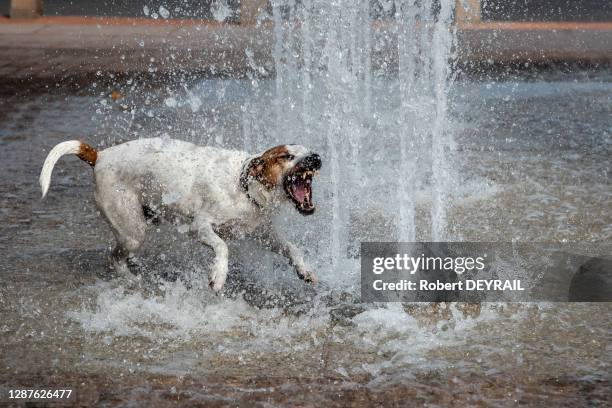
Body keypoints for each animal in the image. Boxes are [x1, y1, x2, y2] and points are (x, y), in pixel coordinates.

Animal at [38, 139, 322, 292]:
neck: (244, 186)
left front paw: (305, 270)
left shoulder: (261, 234)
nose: (317, 157)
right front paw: (218, 276)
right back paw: (133, 280)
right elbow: (223, 246)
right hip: (133, 231)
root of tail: (100, 156)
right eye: (287, 156)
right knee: (114, 259)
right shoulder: (200, 226)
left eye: (309, 150)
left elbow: (292, 247)